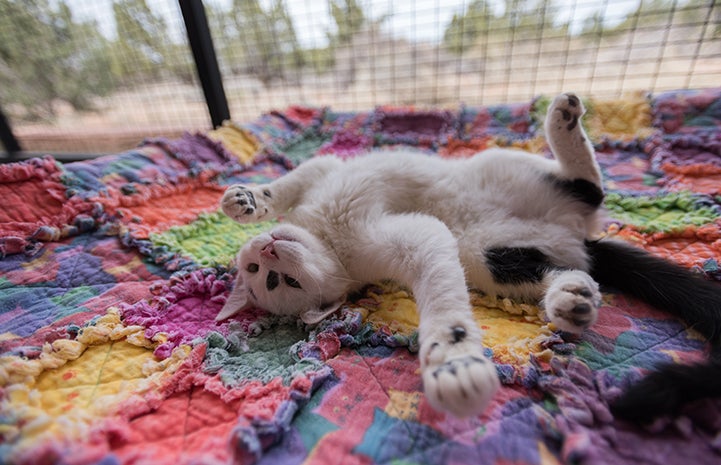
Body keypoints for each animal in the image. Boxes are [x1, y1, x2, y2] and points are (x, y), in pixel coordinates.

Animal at [214, 93, 720, 420]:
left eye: (266, 273)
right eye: (276, 281)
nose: (267, 250)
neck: (326, 234)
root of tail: (570, 231)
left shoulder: (324, 172)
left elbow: (289, 182)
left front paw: (246, 199)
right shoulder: (412, 240)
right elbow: (439, 289)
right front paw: (454, 358)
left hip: (501, 167)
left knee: (587, 187)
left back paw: (564, 119)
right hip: (488, 258)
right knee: (568, 249)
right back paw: (572, 299)